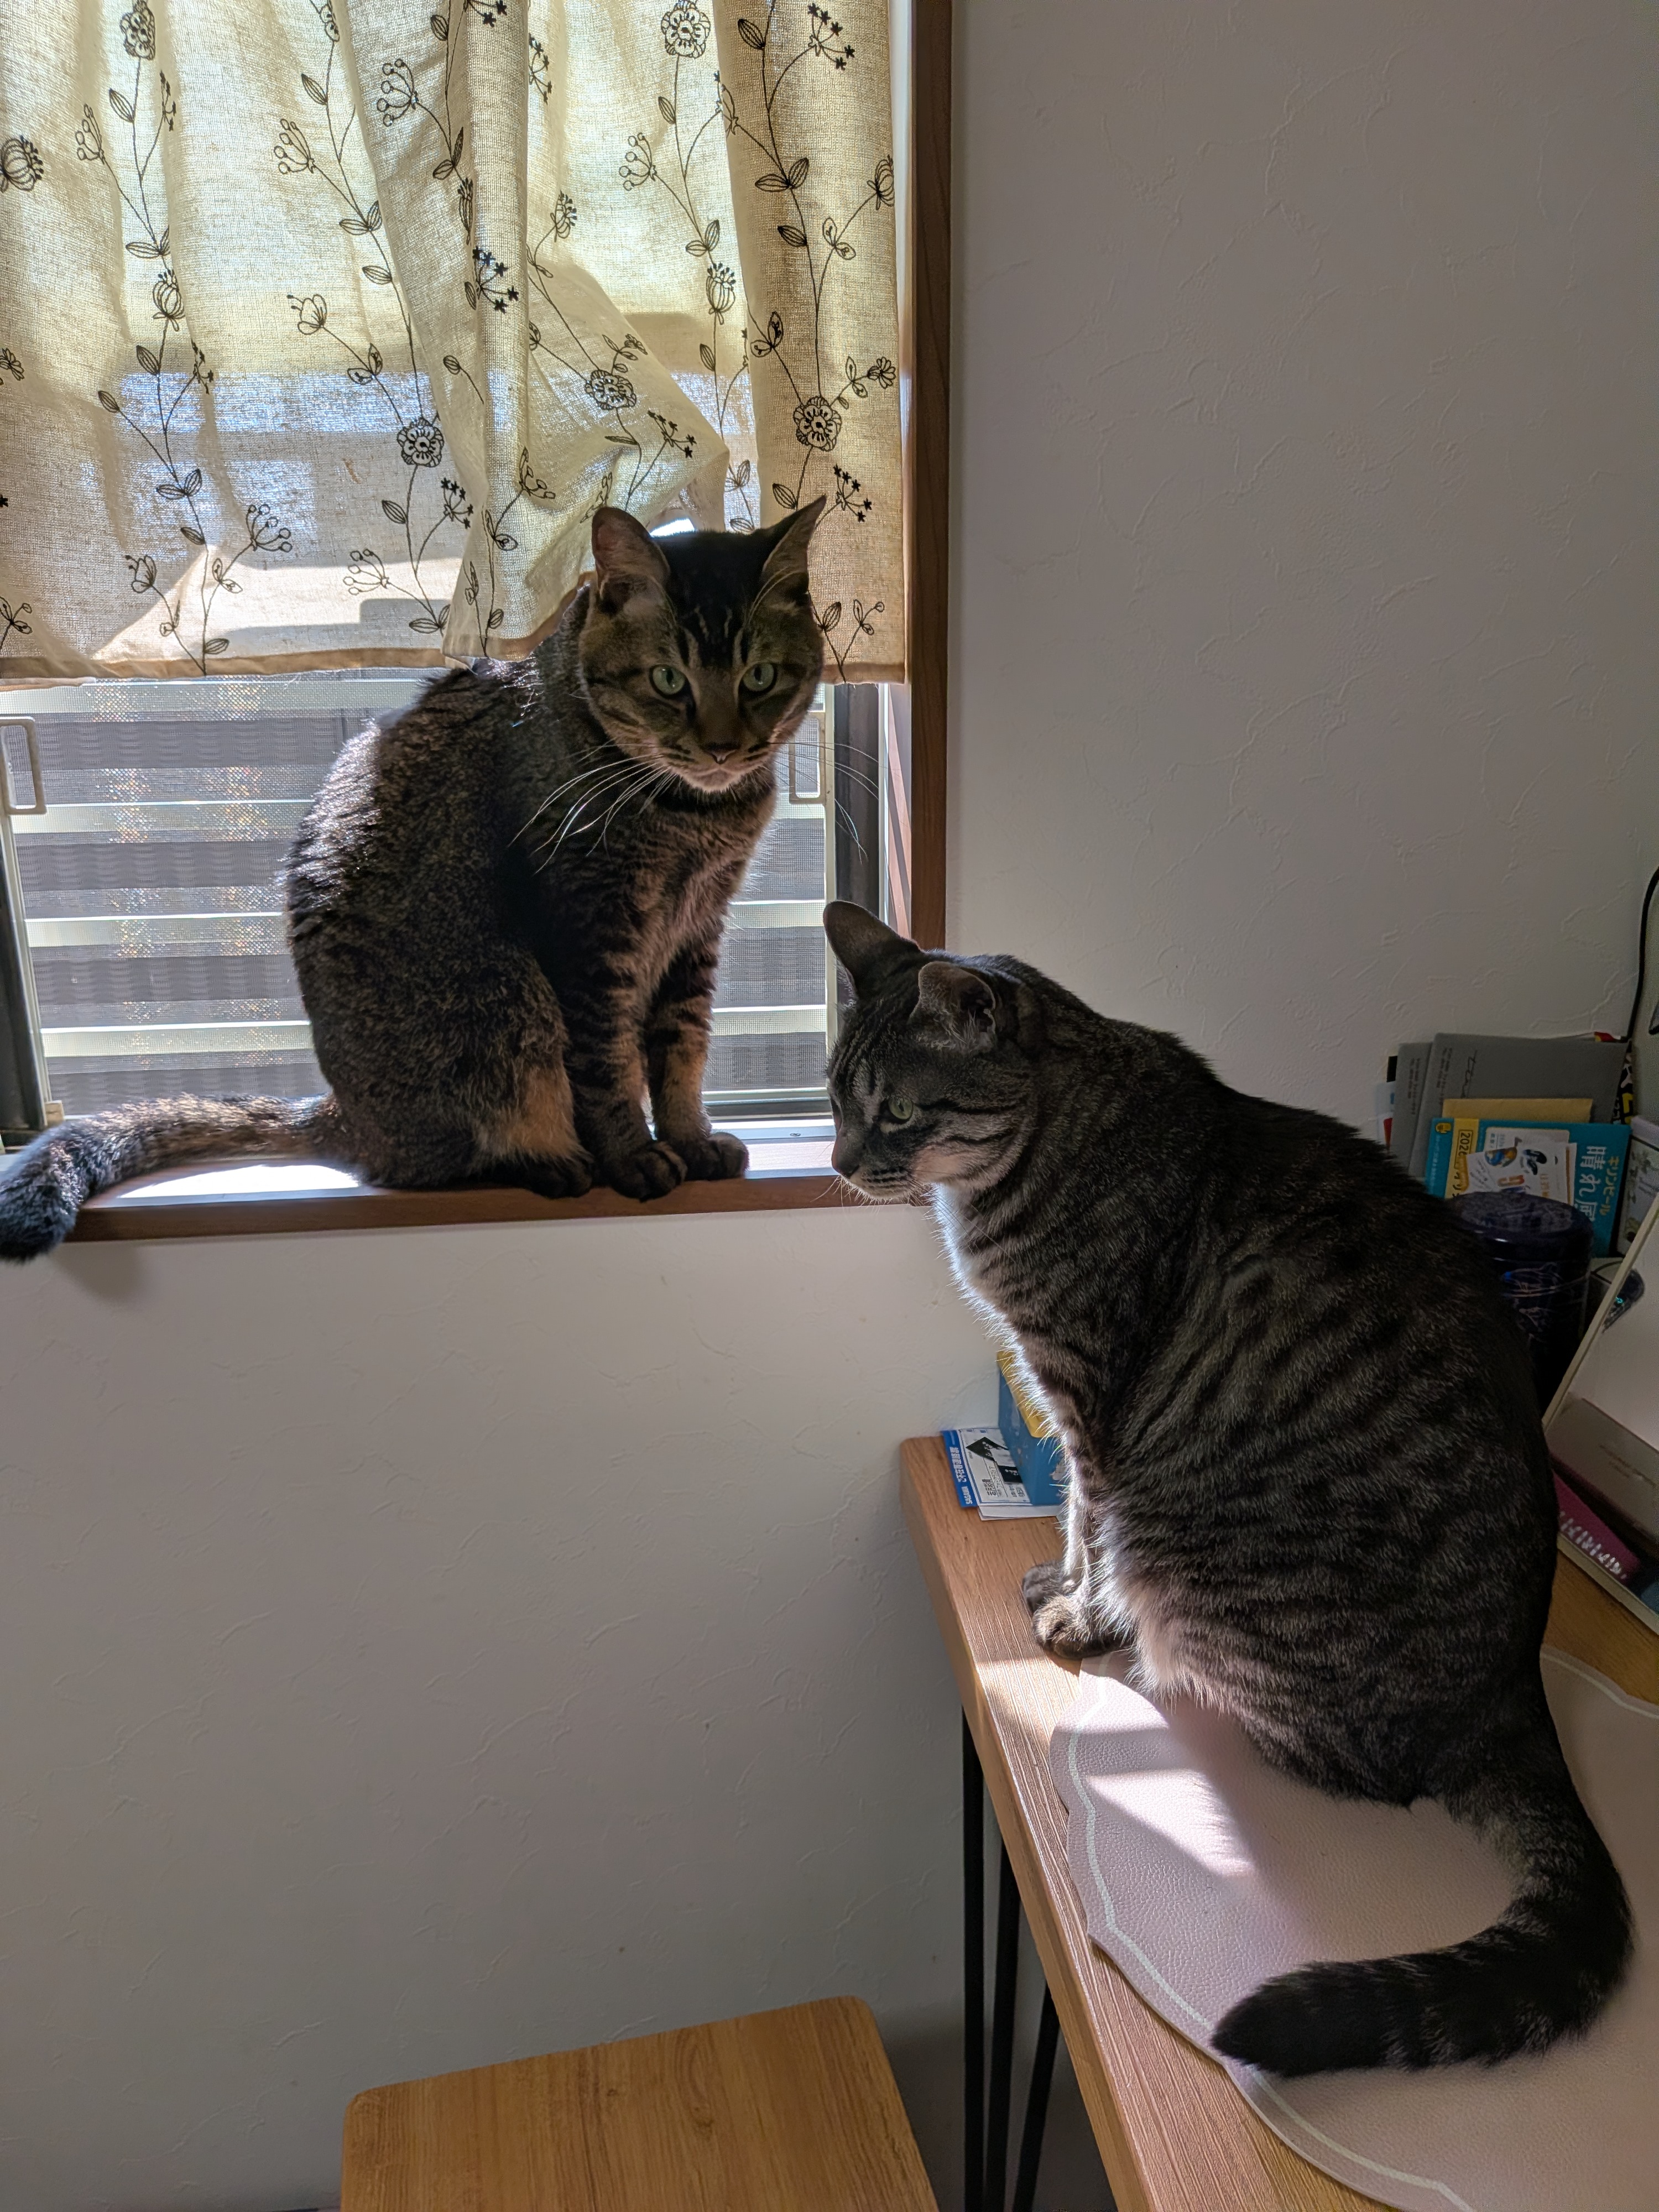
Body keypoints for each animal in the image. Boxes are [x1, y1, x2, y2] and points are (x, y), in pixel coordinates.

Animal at [0, 501, 824, 1259]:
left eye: (760, 678)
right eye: (668, 680)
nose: (724, 748)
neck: (694, 815)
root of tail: (347, 1115)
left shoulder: (697, 927)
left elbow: (683, 1049)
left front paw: (692, 1137)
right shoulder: (590, 935)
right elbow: (609, 1064)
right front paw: (634, 1156)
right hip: (503, 998)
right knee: (456, 1152)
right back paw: (552, 1161)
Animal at [822, 899, 1632, 2079]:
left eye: (894, 1112)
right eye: (834, 1097)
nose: (838, 1160)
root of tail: (1512, 1696)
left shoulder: (1091, 1397)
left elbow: (1089, 1519)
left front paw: (1081, 1613)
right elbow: (1074, 1521)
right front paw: (1060, 1586)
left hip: (1196, 1555)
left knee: (1331, 1759)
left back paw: (1164, 1675)